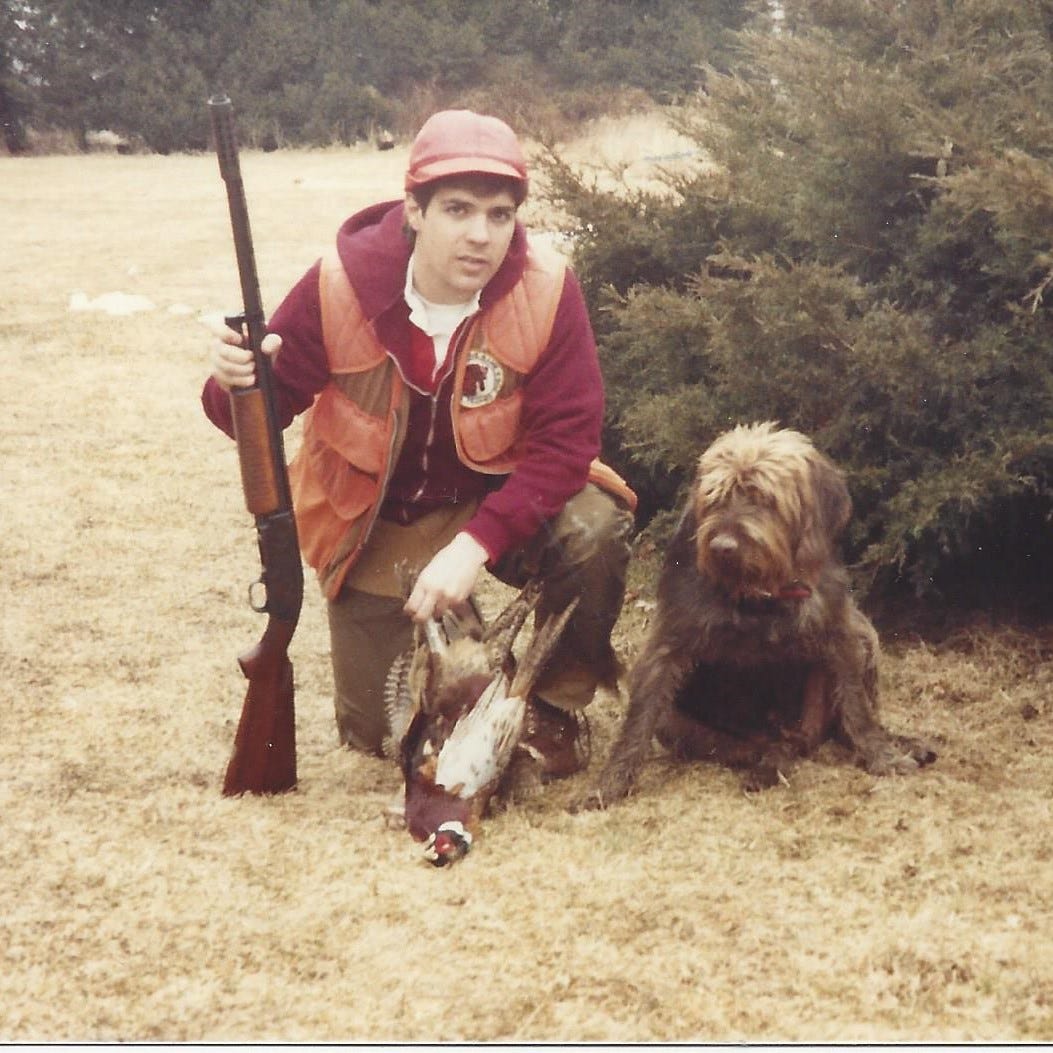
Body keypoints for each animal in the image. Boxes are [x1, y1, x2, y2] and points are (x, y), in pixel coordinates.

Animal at [581, 419, 935, 804]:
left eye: (765, 498)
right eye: (715, 498)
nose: (723, 547)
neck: (762, 596)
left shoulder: (839, 633)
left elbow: (857, 708)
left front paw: (883, 755)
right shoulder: (667, 643)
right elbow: (638, 722)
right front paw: (609, 783)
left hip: (860, 638)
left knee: (838, 728)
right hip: (684, 726)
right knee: (751, 748)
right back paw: (768, 765)